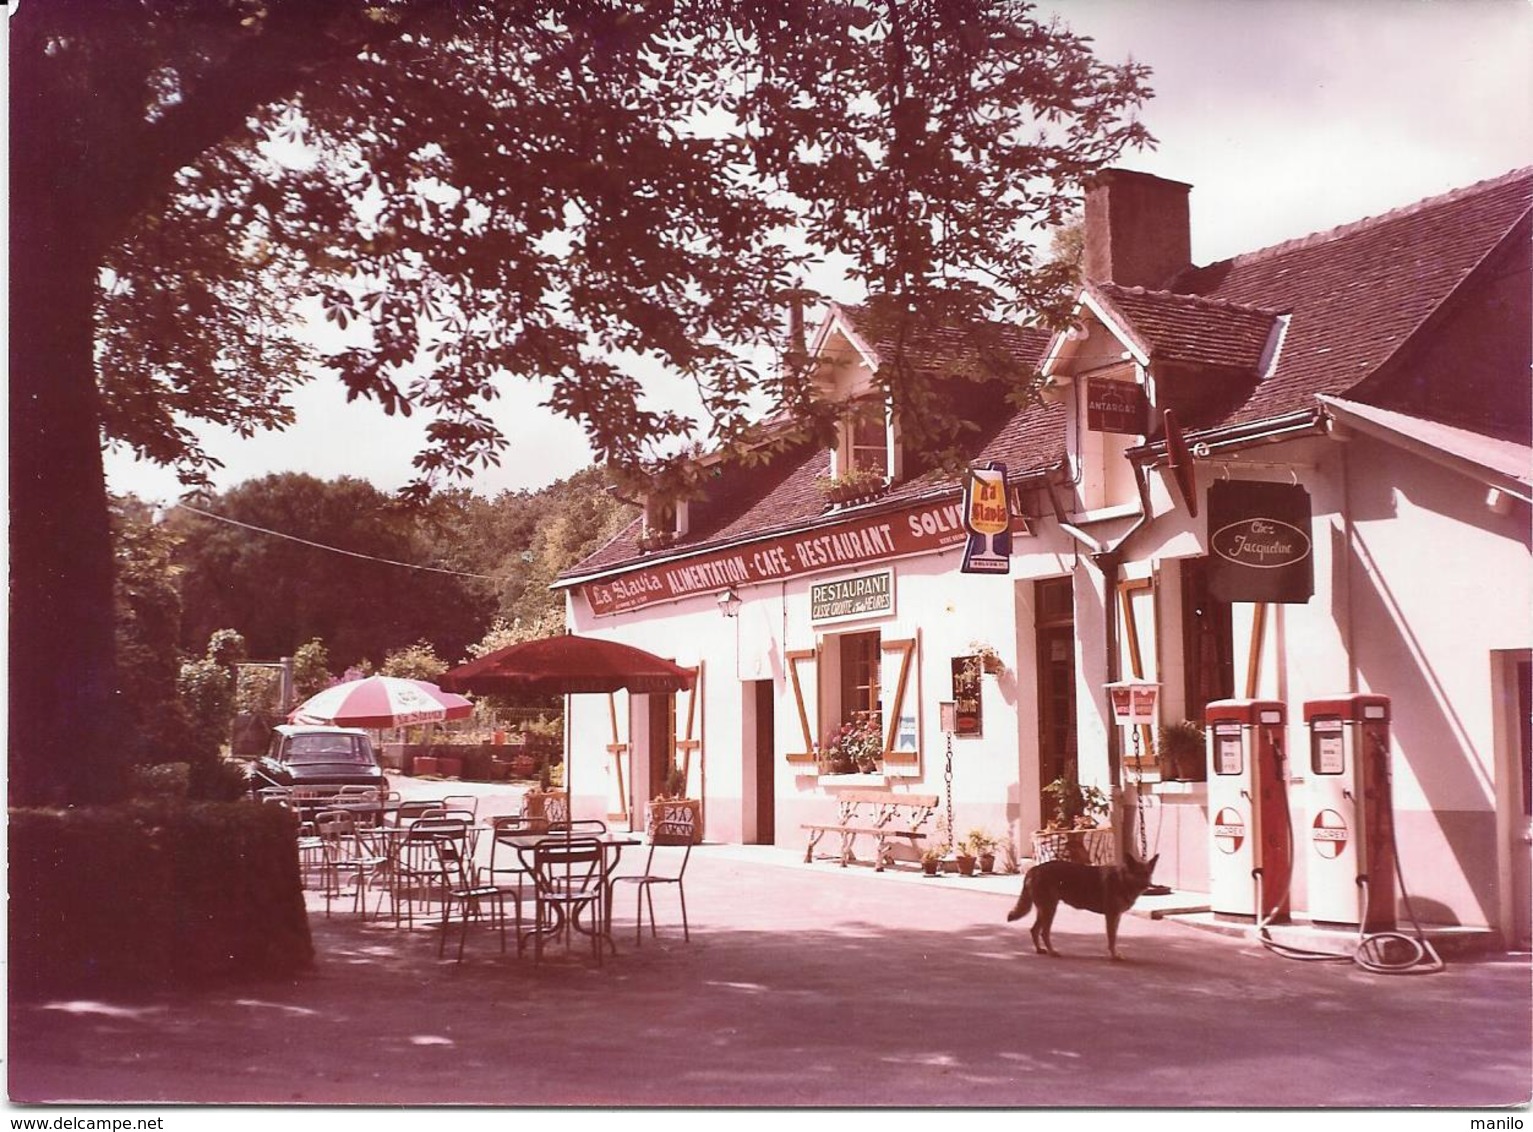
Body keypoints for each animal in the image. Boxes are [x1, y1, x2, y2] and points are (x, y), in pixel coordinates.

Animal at [1011, 852, 1152, 957]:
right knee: (1044, 933)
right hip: (1049, 910)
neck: (1122, 879)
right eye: (1138, 873)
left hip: (1045, 910)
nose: (1147, 885)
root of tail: (1034, 869)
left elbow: (1113, 938)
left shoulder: (1116, 917)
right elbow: (1112, 939)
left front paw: (1114, 954)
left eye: (1147, 874)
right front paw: (1114, 955)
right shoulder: (1112, 916)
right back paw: (1052, 952)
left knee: (1034, 930)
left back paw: (1040, 950)